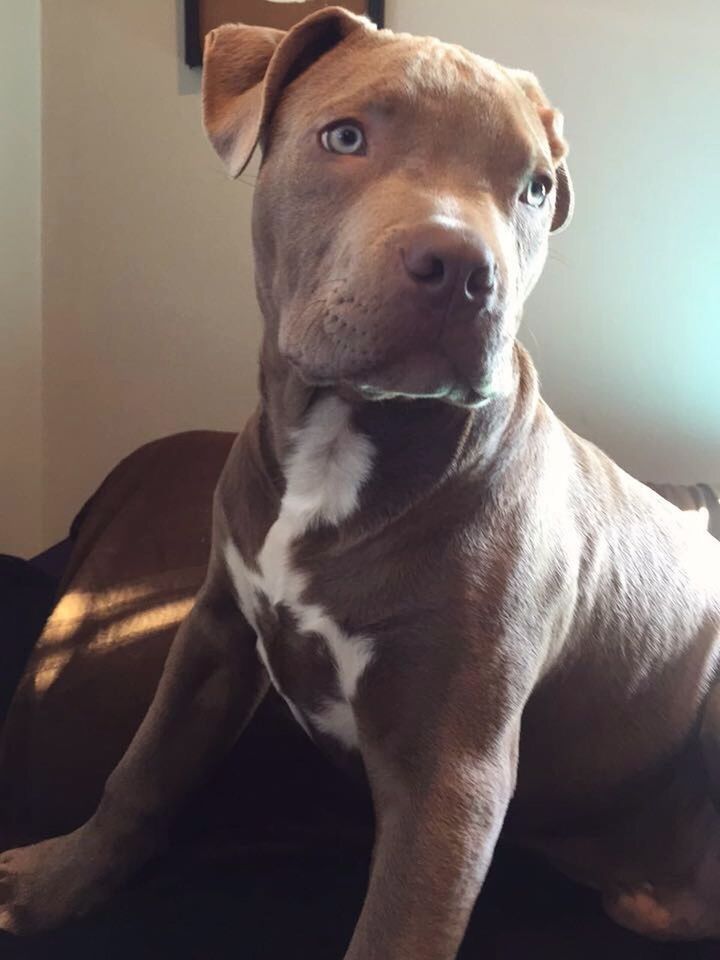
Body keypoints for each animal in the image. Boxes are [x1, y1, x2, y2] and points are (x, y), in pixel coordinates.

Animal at [1, 5, 720, 952]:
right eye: (344, 136)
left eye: (532, 189)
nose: (464, 270)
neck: (341, 445)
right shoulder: (216, 628)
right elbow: (142, 769)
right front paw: (54, 885)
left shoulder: (452, 769)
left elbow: (397, 927)